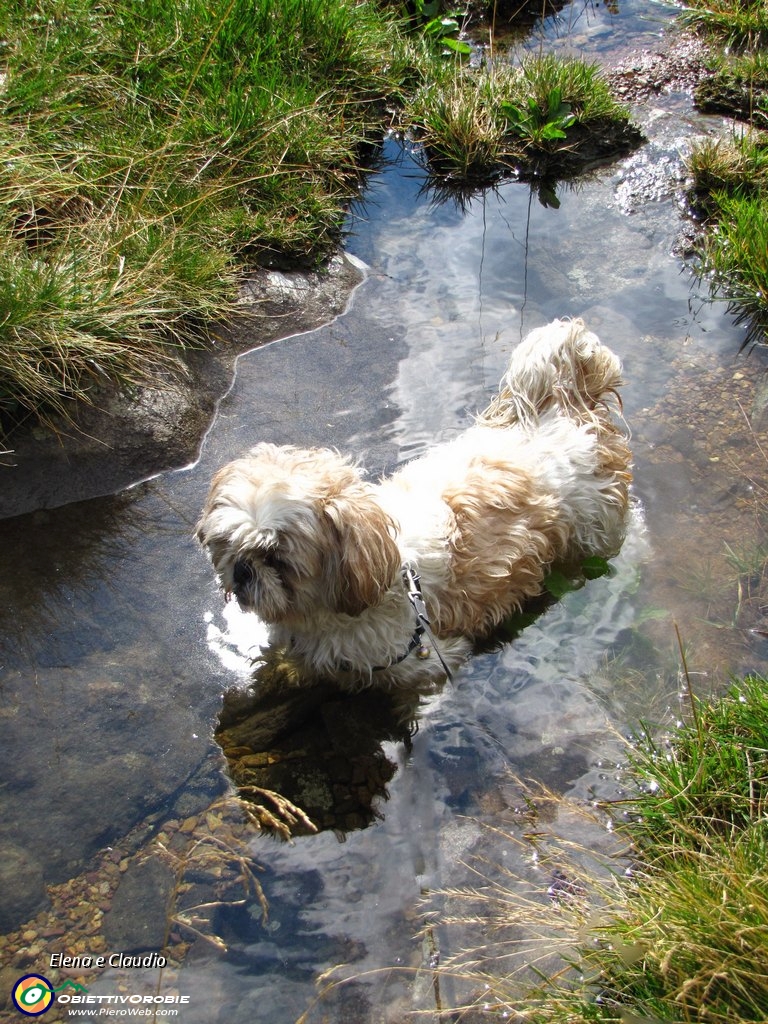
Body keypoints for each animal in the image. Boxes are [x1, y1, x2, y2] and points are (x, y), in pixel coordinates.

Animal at [196, 319, 630, 688]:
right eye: (226, 545)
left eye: (277, 560)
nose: (242, 570)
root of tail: (559, 415)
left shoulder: (422, 661)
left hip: (594, 531)